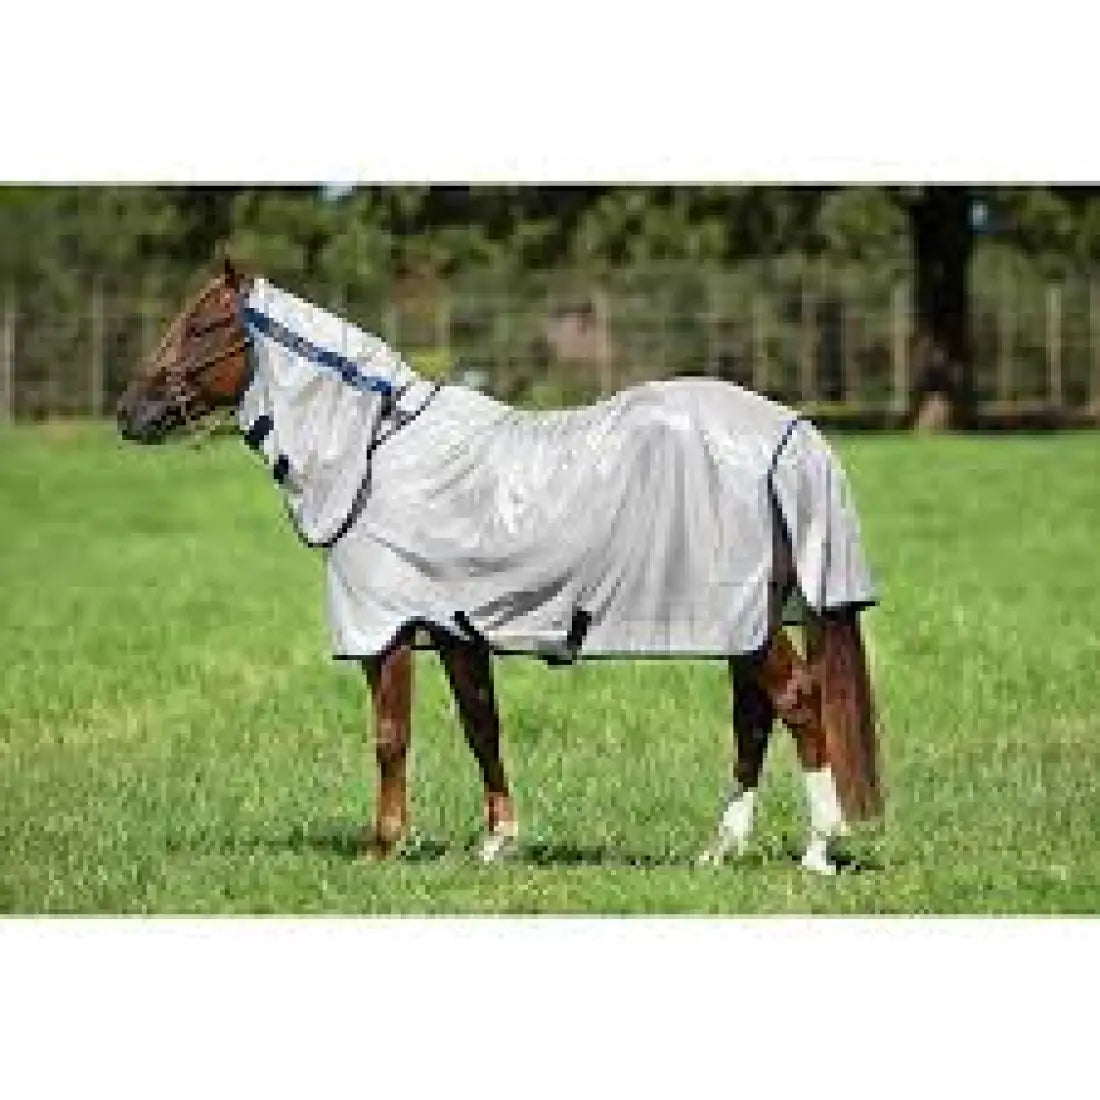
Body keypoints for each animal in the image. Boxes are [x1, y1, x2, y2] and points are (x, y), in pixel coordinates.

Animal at [116, 257, 884, 875]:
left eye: (201, 327)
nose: (129, 412)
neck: (377, 454)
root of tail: (790, 433)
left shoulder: (387, 630)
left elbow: (390, 737)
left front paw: (383, 845)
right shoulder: (457, 628)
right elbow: (481, 724)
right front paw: (496, 842)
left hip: (744, 618)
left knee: (797, 702)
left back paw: (819, 848)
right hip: (743, 621)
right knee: (754, 716)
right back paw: (720, 849)